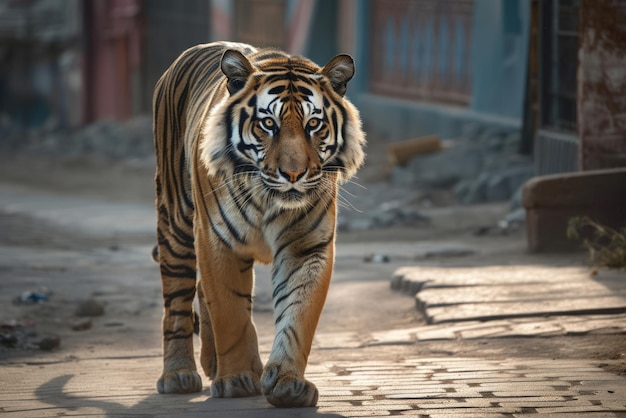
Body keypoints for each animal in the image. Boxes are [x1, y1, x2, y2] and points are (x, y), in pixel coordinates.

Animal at [152, 40, 366, 406]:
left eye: (313, 124)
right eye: (268, 124)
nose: (294, 174)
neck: (269, 201)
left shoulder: (306, 247)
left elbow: (298, 314)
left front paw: (287, 384)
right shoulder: (216, 239)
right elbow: (230, 313)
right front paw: (237, 379)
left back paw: (212, 364)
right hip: (175, 224)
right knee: (177, 301)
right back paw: (178, 375)